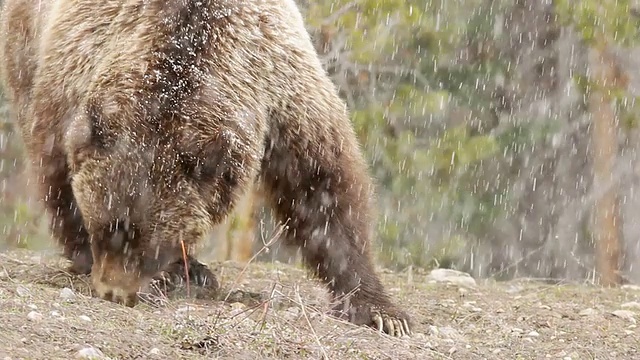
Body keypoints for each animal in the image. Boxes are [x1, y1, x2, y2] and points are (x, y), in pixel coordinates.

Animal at [1, 0, 410, 336]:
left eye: (152, 247)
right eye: (104, 229)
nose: (114, 292)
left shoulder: (280, 83)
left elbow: (322, 186)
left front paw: (382, 312)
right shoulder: (76, 64)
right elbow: (56, 163)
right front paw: (87, 252)